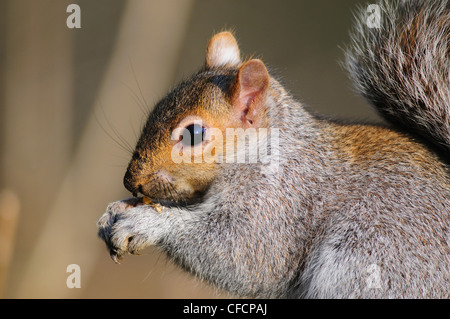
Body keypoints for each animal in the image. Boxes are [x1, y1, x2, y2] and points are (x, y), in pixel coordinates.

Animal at [98, 0, 450, 300]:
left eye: (194, 133)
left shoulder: (277, 204)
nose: (131, 181)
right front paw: (118, 209)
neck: (265, 150)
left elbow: (245, 255)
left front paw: (145, 222)